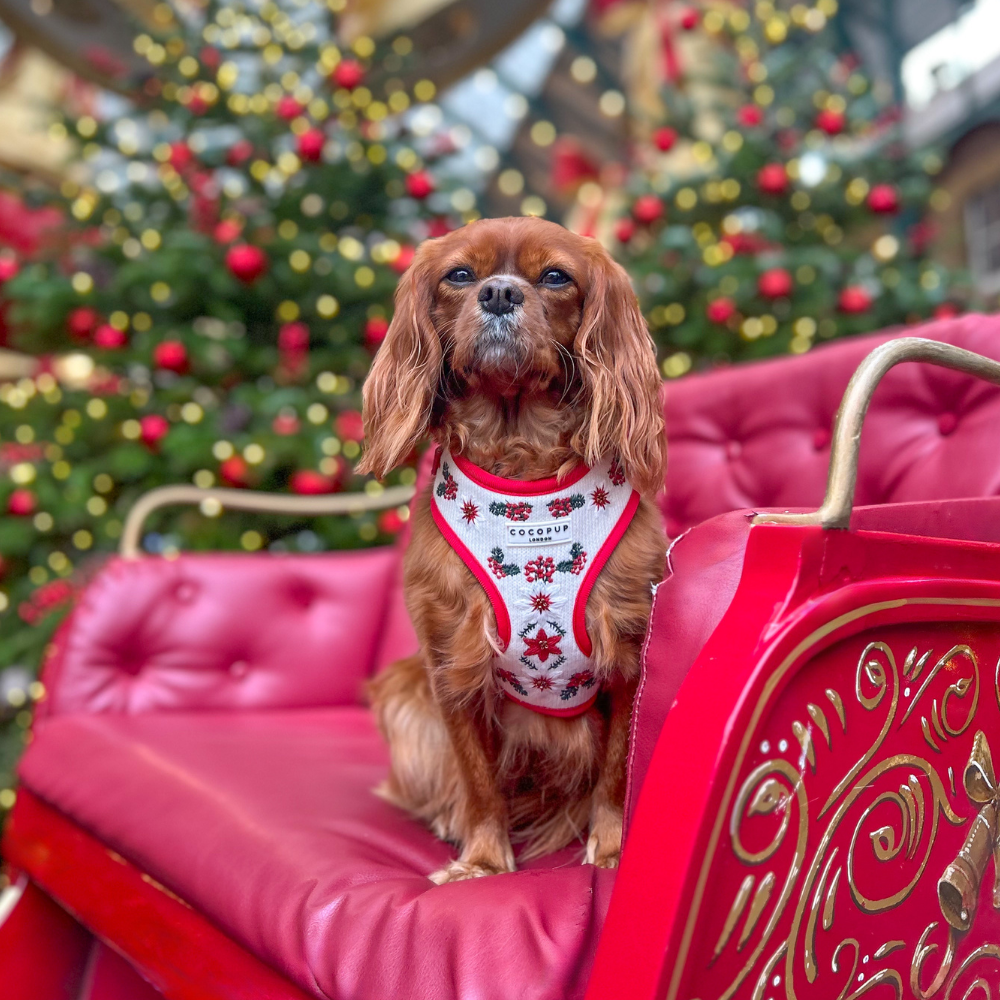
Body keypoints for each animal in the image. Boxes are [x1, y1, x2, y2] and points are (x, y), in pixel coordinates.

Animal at [358, 217, 664, 884]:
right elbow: (477, 778)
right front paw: (481, 860)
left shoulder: (627, 655)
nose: (499, 294)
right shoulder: (451, 663)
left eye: (554, 276)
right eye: (459, 274)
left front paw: (610, 850)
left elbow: (615, 771)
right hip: (403, 690)